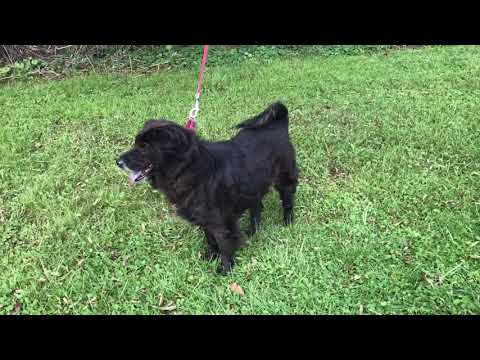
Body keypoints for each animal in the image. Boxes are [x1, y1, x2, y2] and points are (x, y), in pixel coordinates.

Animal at [116, 101, 298, 272]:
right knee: (257, 207)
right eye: (136, 143)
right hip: (253, 186)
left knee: (287, 202)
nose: (118, 161)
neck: (188, 168)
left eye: (144, 146)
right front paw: (211, 257)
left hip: (285, 179)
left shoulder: (221, 223)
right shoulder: (206, 221)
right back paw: (253, 231)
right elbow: (210, 240)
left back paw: (288, 223)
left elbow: (224, 246)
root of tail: (278, 124)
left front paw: (226, 269)